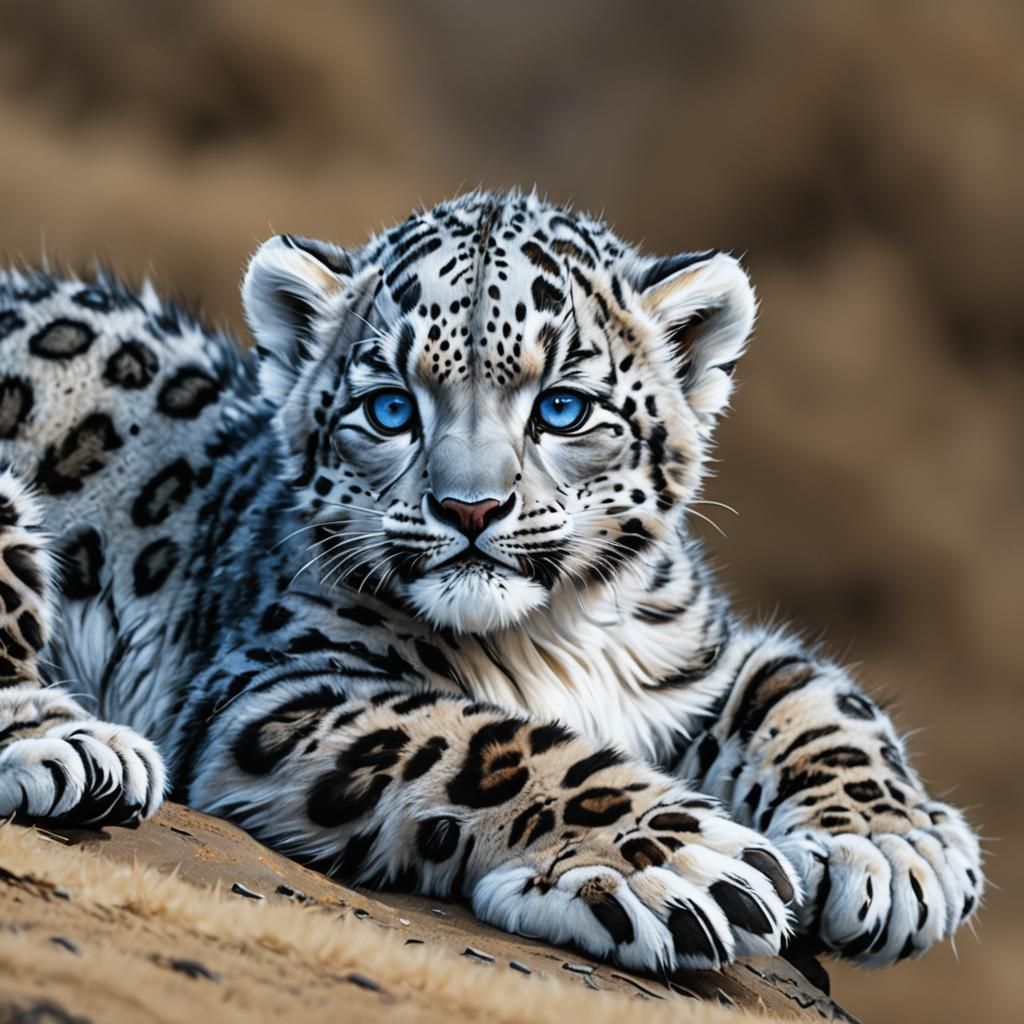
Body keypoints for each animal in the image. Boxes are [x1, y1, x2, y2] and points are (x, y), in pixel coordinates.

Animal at [0, 189, 982, 976]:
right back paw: (83, 751)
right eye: (390, 407)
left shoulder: (704, 653)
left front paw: (897, 854)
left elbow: (818, 698)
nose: (469, 507)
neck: (562, 634)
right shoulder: (280, 686)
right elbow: (489, 744)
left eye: (564, 407)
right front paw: (679, 864)